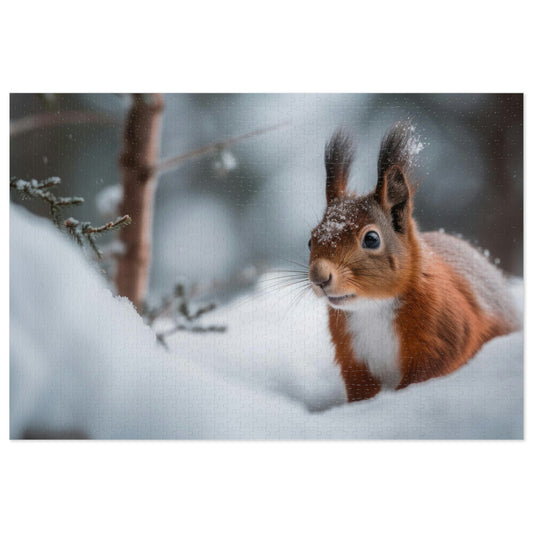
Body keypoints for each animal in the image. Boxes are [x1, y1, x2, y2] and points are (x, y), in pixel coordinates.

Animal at [308, 122, 520, 402]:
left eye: (372, 239)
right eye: (310, 240)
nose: (319, 277)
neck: (372, 307)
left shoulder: (445, 330)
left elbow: (430, 369)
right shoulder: (351, 356)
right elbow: (361, 389)